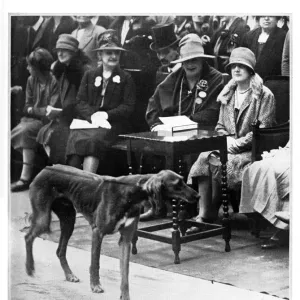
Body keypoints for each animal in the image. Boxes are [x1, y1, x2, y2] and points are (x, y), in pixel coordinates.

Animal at [25, 164, 199, 300]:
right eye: (178, 184)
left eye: (184, 180)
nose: (197, 196)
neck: (132, 193)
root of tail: (44, 169)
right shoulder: (98, 232)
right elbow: (95, 263)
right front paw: (95, 286)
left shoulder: (126, 241)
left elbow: (125, 274)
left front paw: (125, 296)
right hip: (44, 219)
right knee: (28, 237)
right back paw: (29, 268)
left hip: (68, 221)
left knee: (60, 250)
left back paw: (69, 275)